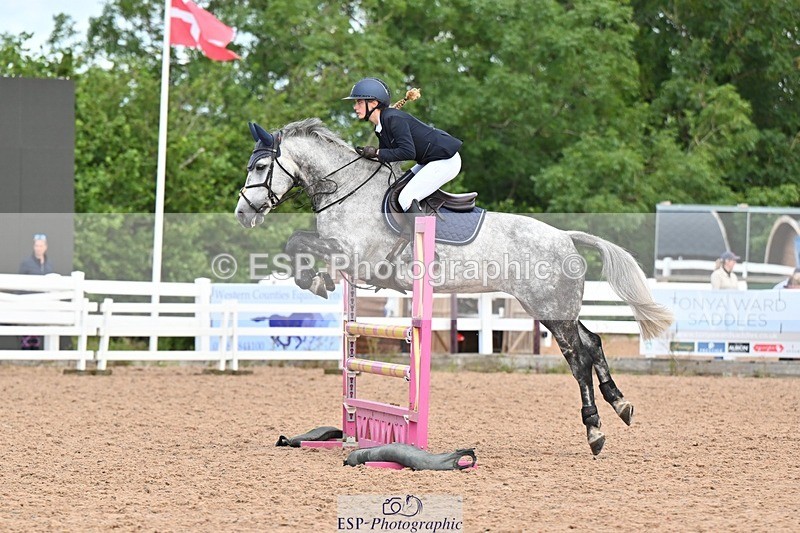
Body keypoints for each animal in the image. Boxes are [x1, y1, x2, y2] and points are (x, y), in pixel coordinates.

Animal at [234, 117, 674, 455]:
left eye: (260, 167)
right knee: (593, 342)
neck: (347, 191)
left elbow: (297, 240)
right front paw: (316, 279)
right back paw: (621, 404)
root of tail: (565, 236)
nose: (243, 214)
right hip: (553, 308)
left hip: (550, 309)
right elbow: (299, 243)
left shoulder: (358, 256)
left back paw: (595, 429)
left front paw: (314, 278)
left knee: (578, 358)